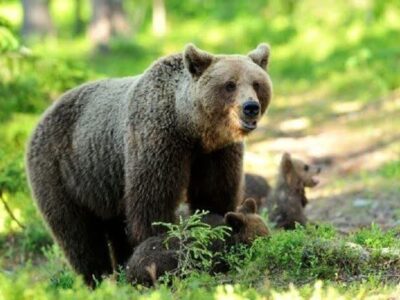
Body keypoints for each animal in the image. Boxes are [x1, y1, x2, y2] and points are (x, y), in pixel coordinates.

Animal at [26, 43, 274, 284]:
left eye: (257, 83)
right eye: (230, 84)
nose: (250, 107)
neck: (191, 129)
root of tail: (42, 116)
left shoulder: (216, 153)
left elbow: (214, 193)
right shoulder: (157, 141)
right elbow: (152, 202)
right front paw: (158, 241)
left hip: (106, 185)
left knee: (114, 226)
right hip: (62, 170)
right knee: (78, 234)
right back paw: (96, 277)